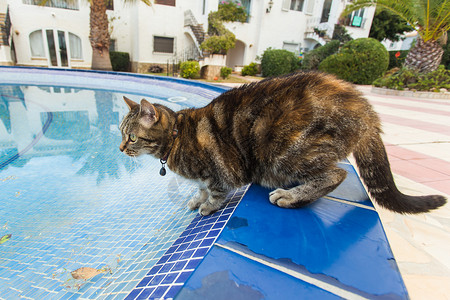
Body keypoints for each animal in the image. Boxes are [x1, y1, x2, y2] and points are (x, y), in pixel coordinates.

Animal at [119, 72, 446, 216]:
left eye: (131, 136)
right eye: (120, 133)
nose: (120, 148)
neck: (175, 137)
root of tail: (364, 107)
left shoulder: (220, 172)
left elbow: (215, 191)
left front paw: (207, 206)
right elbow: (199, 188)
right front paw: (197, 199)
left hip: (286, 150)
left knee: (336, 174)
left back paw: (291, 197)